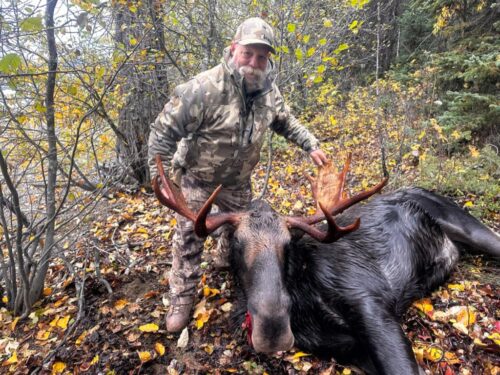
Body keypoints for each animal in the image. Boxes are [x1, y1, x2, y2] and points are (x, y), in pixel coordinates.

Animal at [153, 154, 500, 374]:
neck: (306, 303)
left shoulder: (370, 305)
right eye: (238, 243)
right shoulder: (348, 349)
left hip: (467, 225)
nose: (272, 329)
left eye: (288, 243)